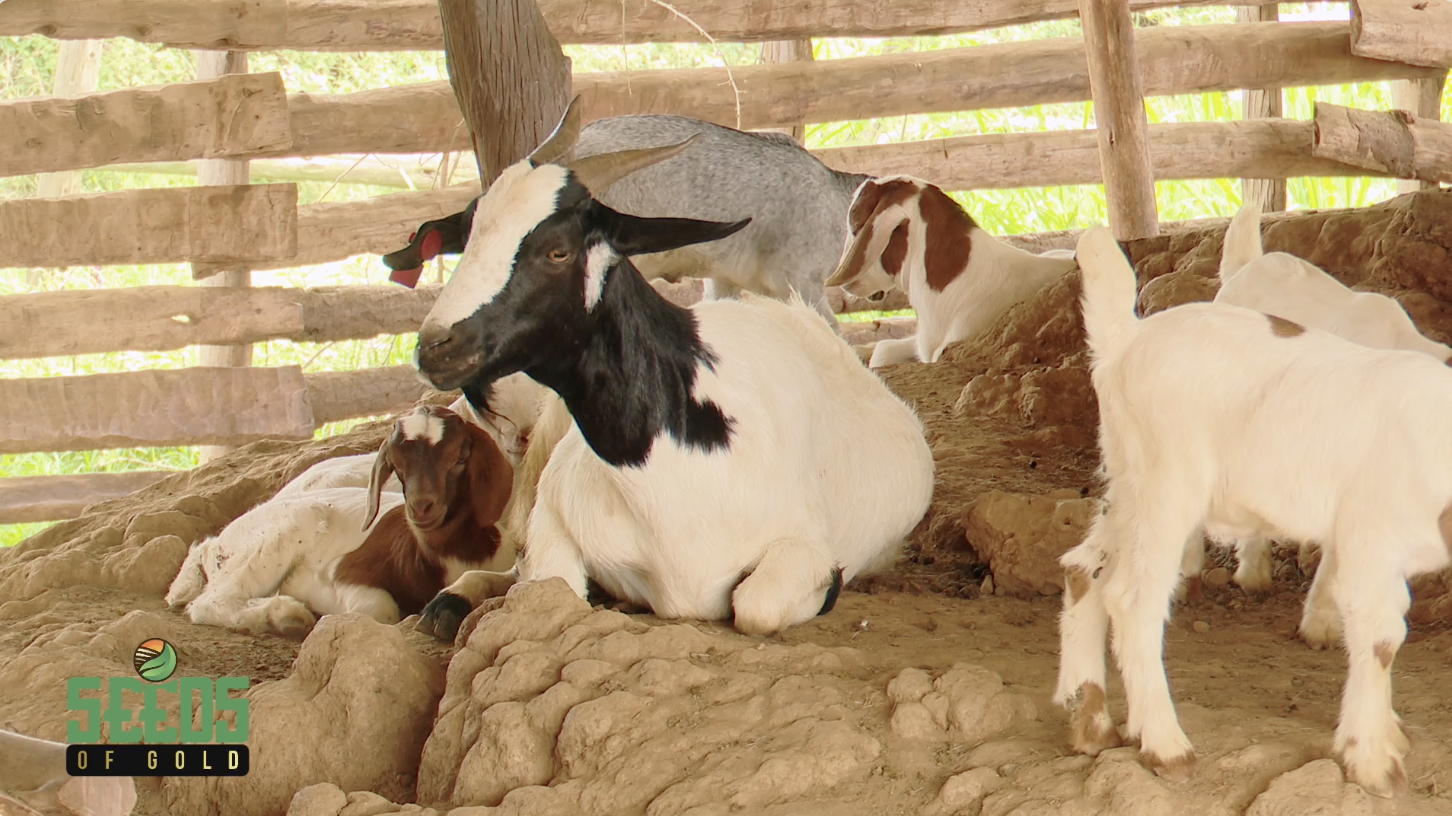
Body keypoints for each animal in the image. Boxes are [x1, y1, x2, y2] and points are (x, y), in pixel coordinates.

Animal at [165, 406, 515, 636]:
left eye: (460, 457)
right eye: (396, 464)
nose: (421, 506)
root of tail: (213, 543)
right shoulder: (346, 573)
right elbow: (380, 611)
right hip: (272, 540)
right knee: (211, 601)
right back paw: (287, 615)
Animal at [1056, 225, 1452, 797]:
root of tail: (1125, 341)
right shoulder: (1368, 536)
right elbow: (1381, 638)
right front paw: (1372, 758)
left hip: (1128, 484)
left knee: (1082, 567)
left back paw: (1090, 722)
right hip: (1167, 483)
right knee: (1131, 599)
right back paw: (1165, 744)